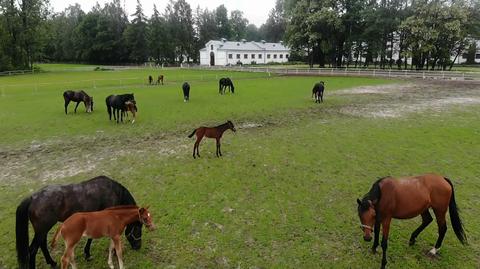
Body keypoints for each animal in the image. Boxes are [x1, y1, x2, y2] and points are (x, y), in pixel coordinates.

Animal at [15, 176, 143, 268]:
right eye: (138, 229)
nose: (138, 247)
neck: (113, 192)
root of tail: (33, 197)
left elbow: (90, 237)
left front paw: (87, 254)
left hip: (43, 230)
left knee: (42, 245)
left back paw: (52, 262)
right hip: (42, 230)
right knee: (32, 250)